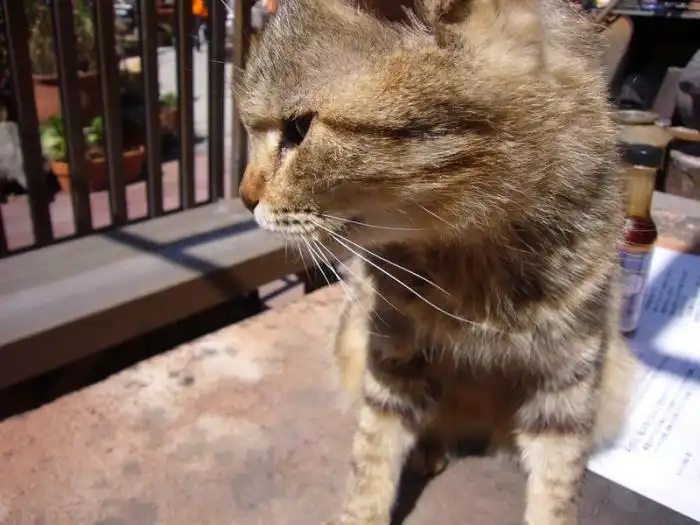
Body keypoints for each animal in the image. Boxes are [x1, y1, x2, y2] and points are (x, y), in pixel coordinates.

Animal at [237, 0, 637, 524]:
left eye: (299, 129)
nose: (243, 198)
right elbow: (372, 457)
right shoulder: (391, 354)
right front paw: (363, 511)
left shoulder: (571, 372)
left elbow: (557, 486)